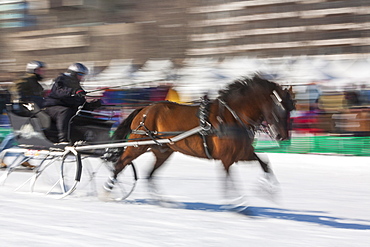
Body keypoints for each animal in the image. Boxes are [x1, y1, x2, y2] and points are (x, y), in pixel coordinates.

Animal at [104, 74, 294, 202]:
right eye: (278, 109)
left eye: (290, 110)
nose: (283, 136)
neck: (232, 116)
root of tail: (145, 109)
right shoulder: (226, 158)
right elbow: (229, 181)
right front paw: (239, 206)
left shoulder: (242, 154)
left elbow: (265, 164)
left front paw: (268, 191)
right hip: (138, 144)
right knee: (120, 164)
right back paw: (107, 191)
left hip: (163, 150)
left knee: (149, 174)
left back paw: (162, 201)